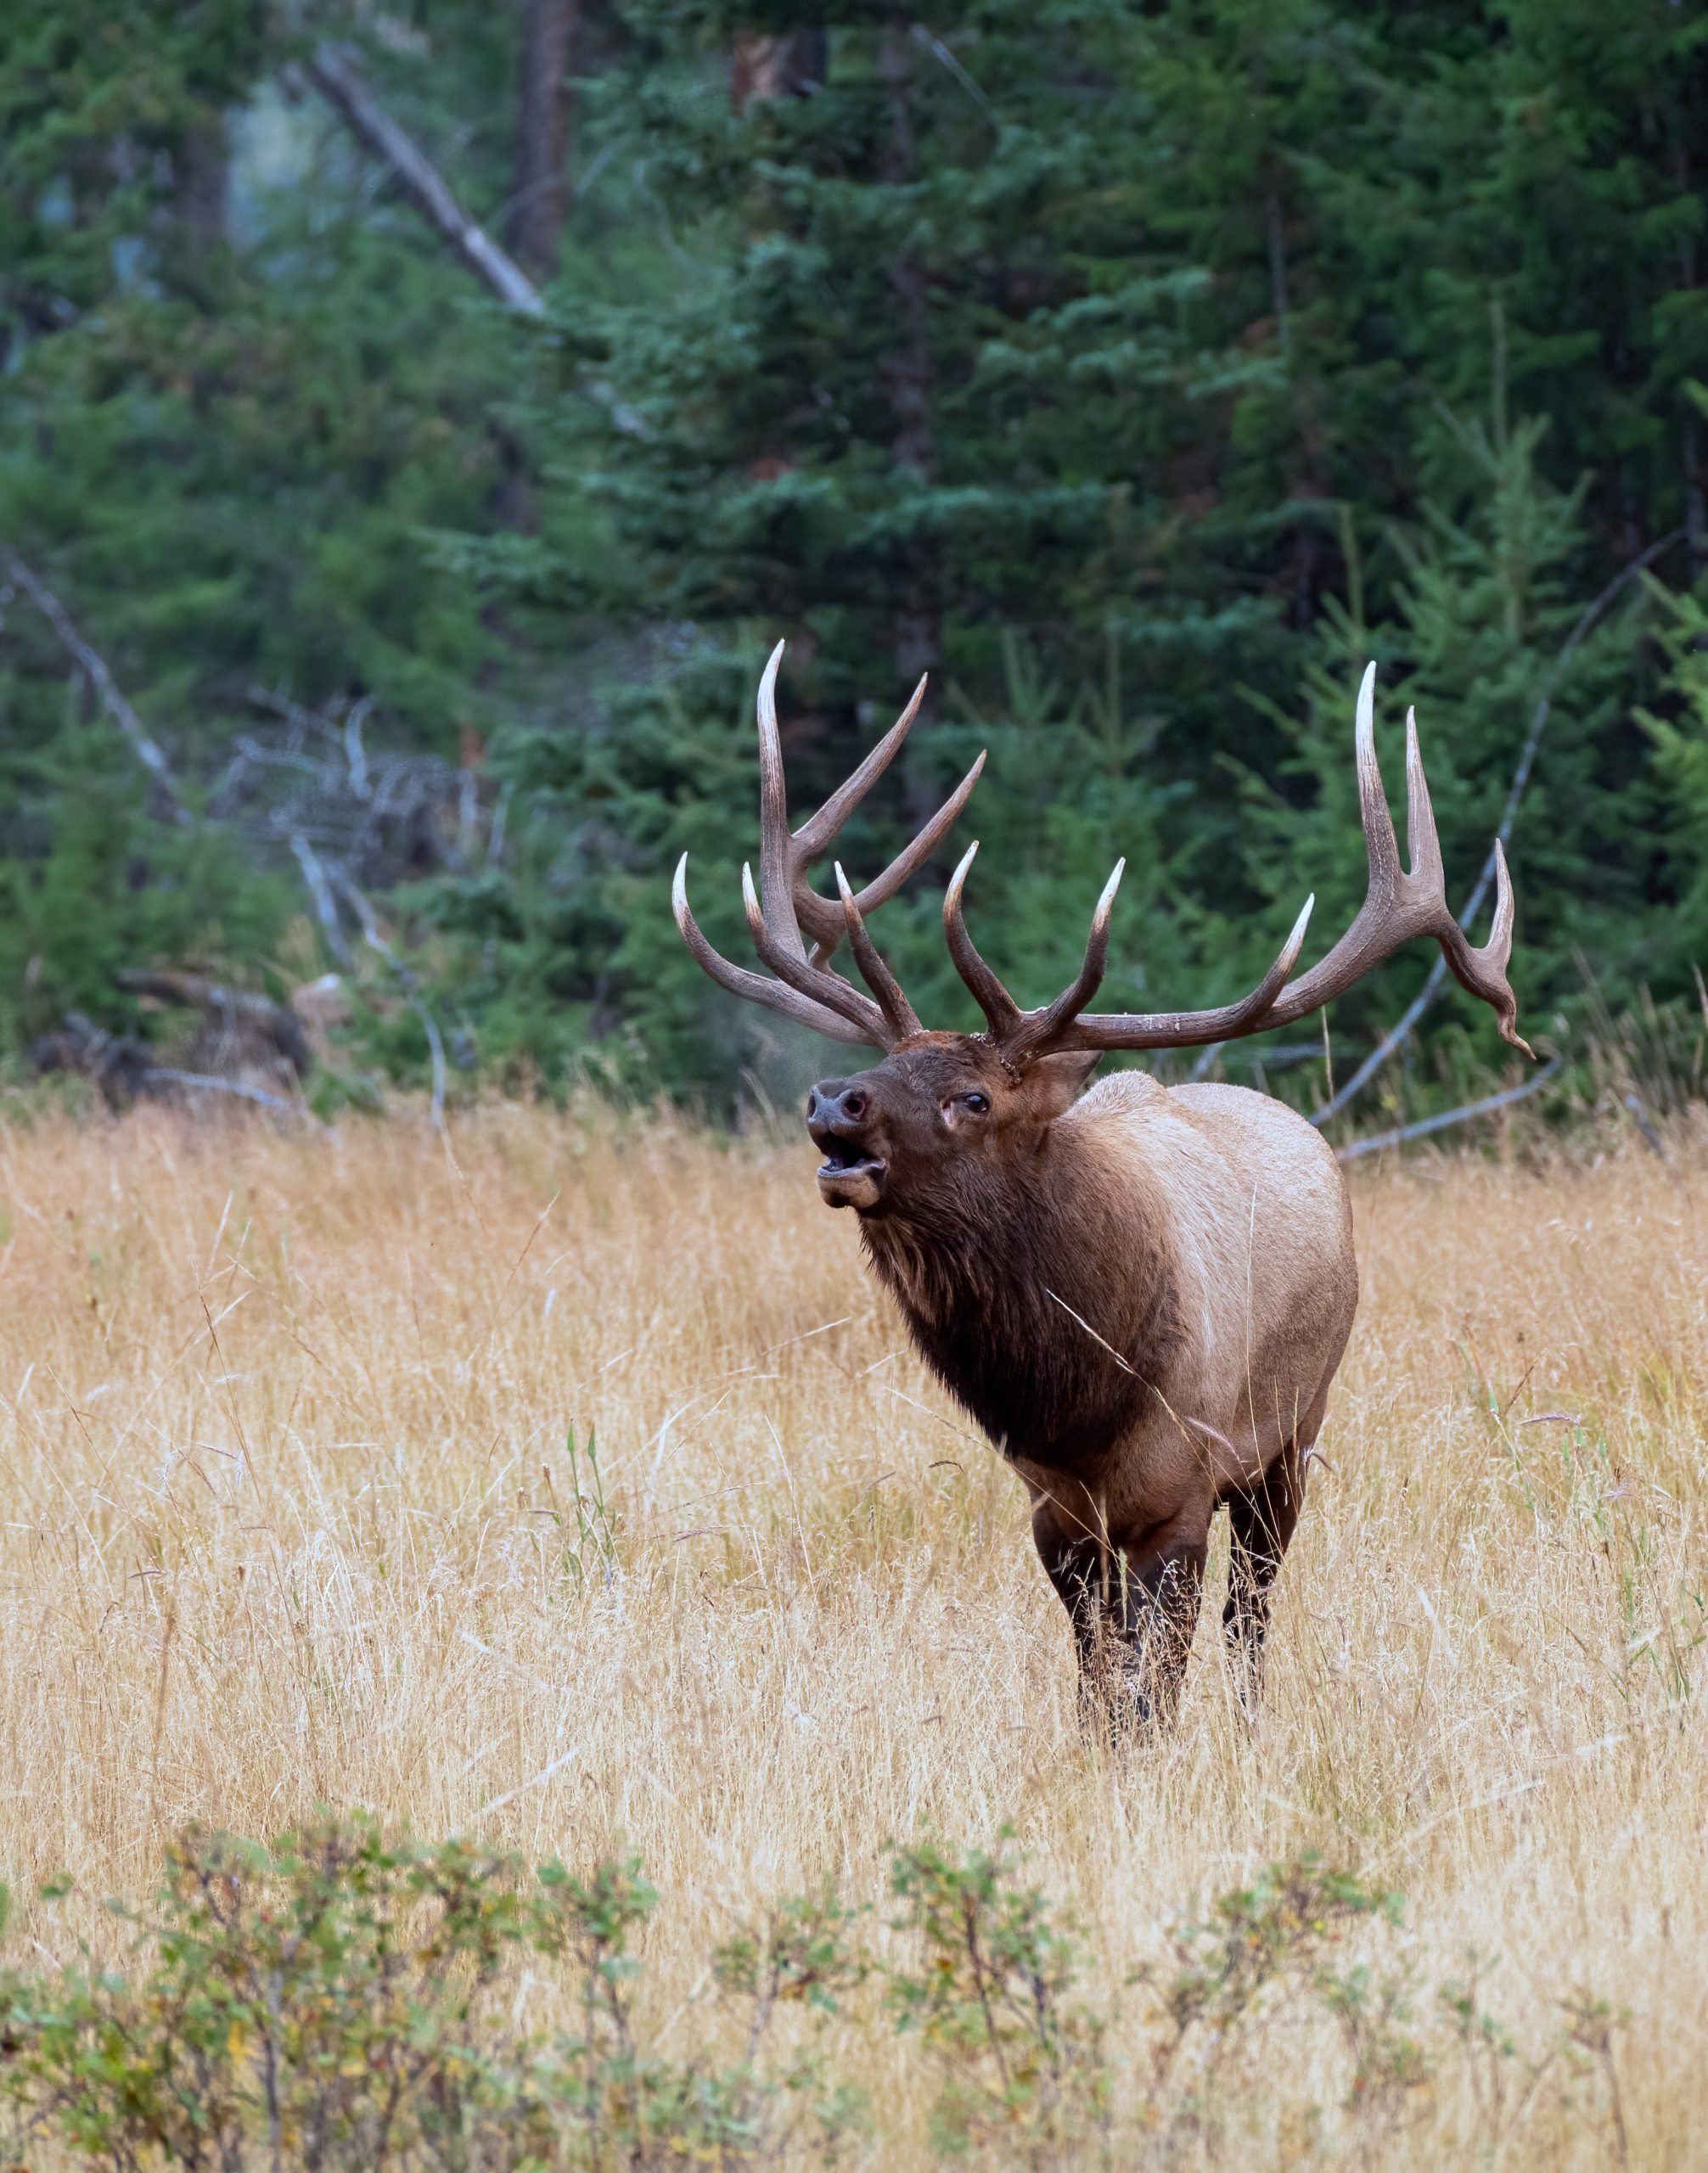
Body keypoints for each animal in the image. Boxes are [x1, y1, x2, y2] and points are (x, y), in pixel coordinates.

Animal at [673, 643, 1520, 1729]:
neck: (1079, 1401)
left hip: (1293, 1433)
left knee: (1253, 1615)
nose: (833, 1099)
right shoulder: (1055, 1511)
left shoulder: (1181, 1489)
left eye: (973, 1096)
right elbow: (1095, 1684)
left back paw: (1250, 1725)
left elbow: (1153, 1692)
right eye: (891, 1063)